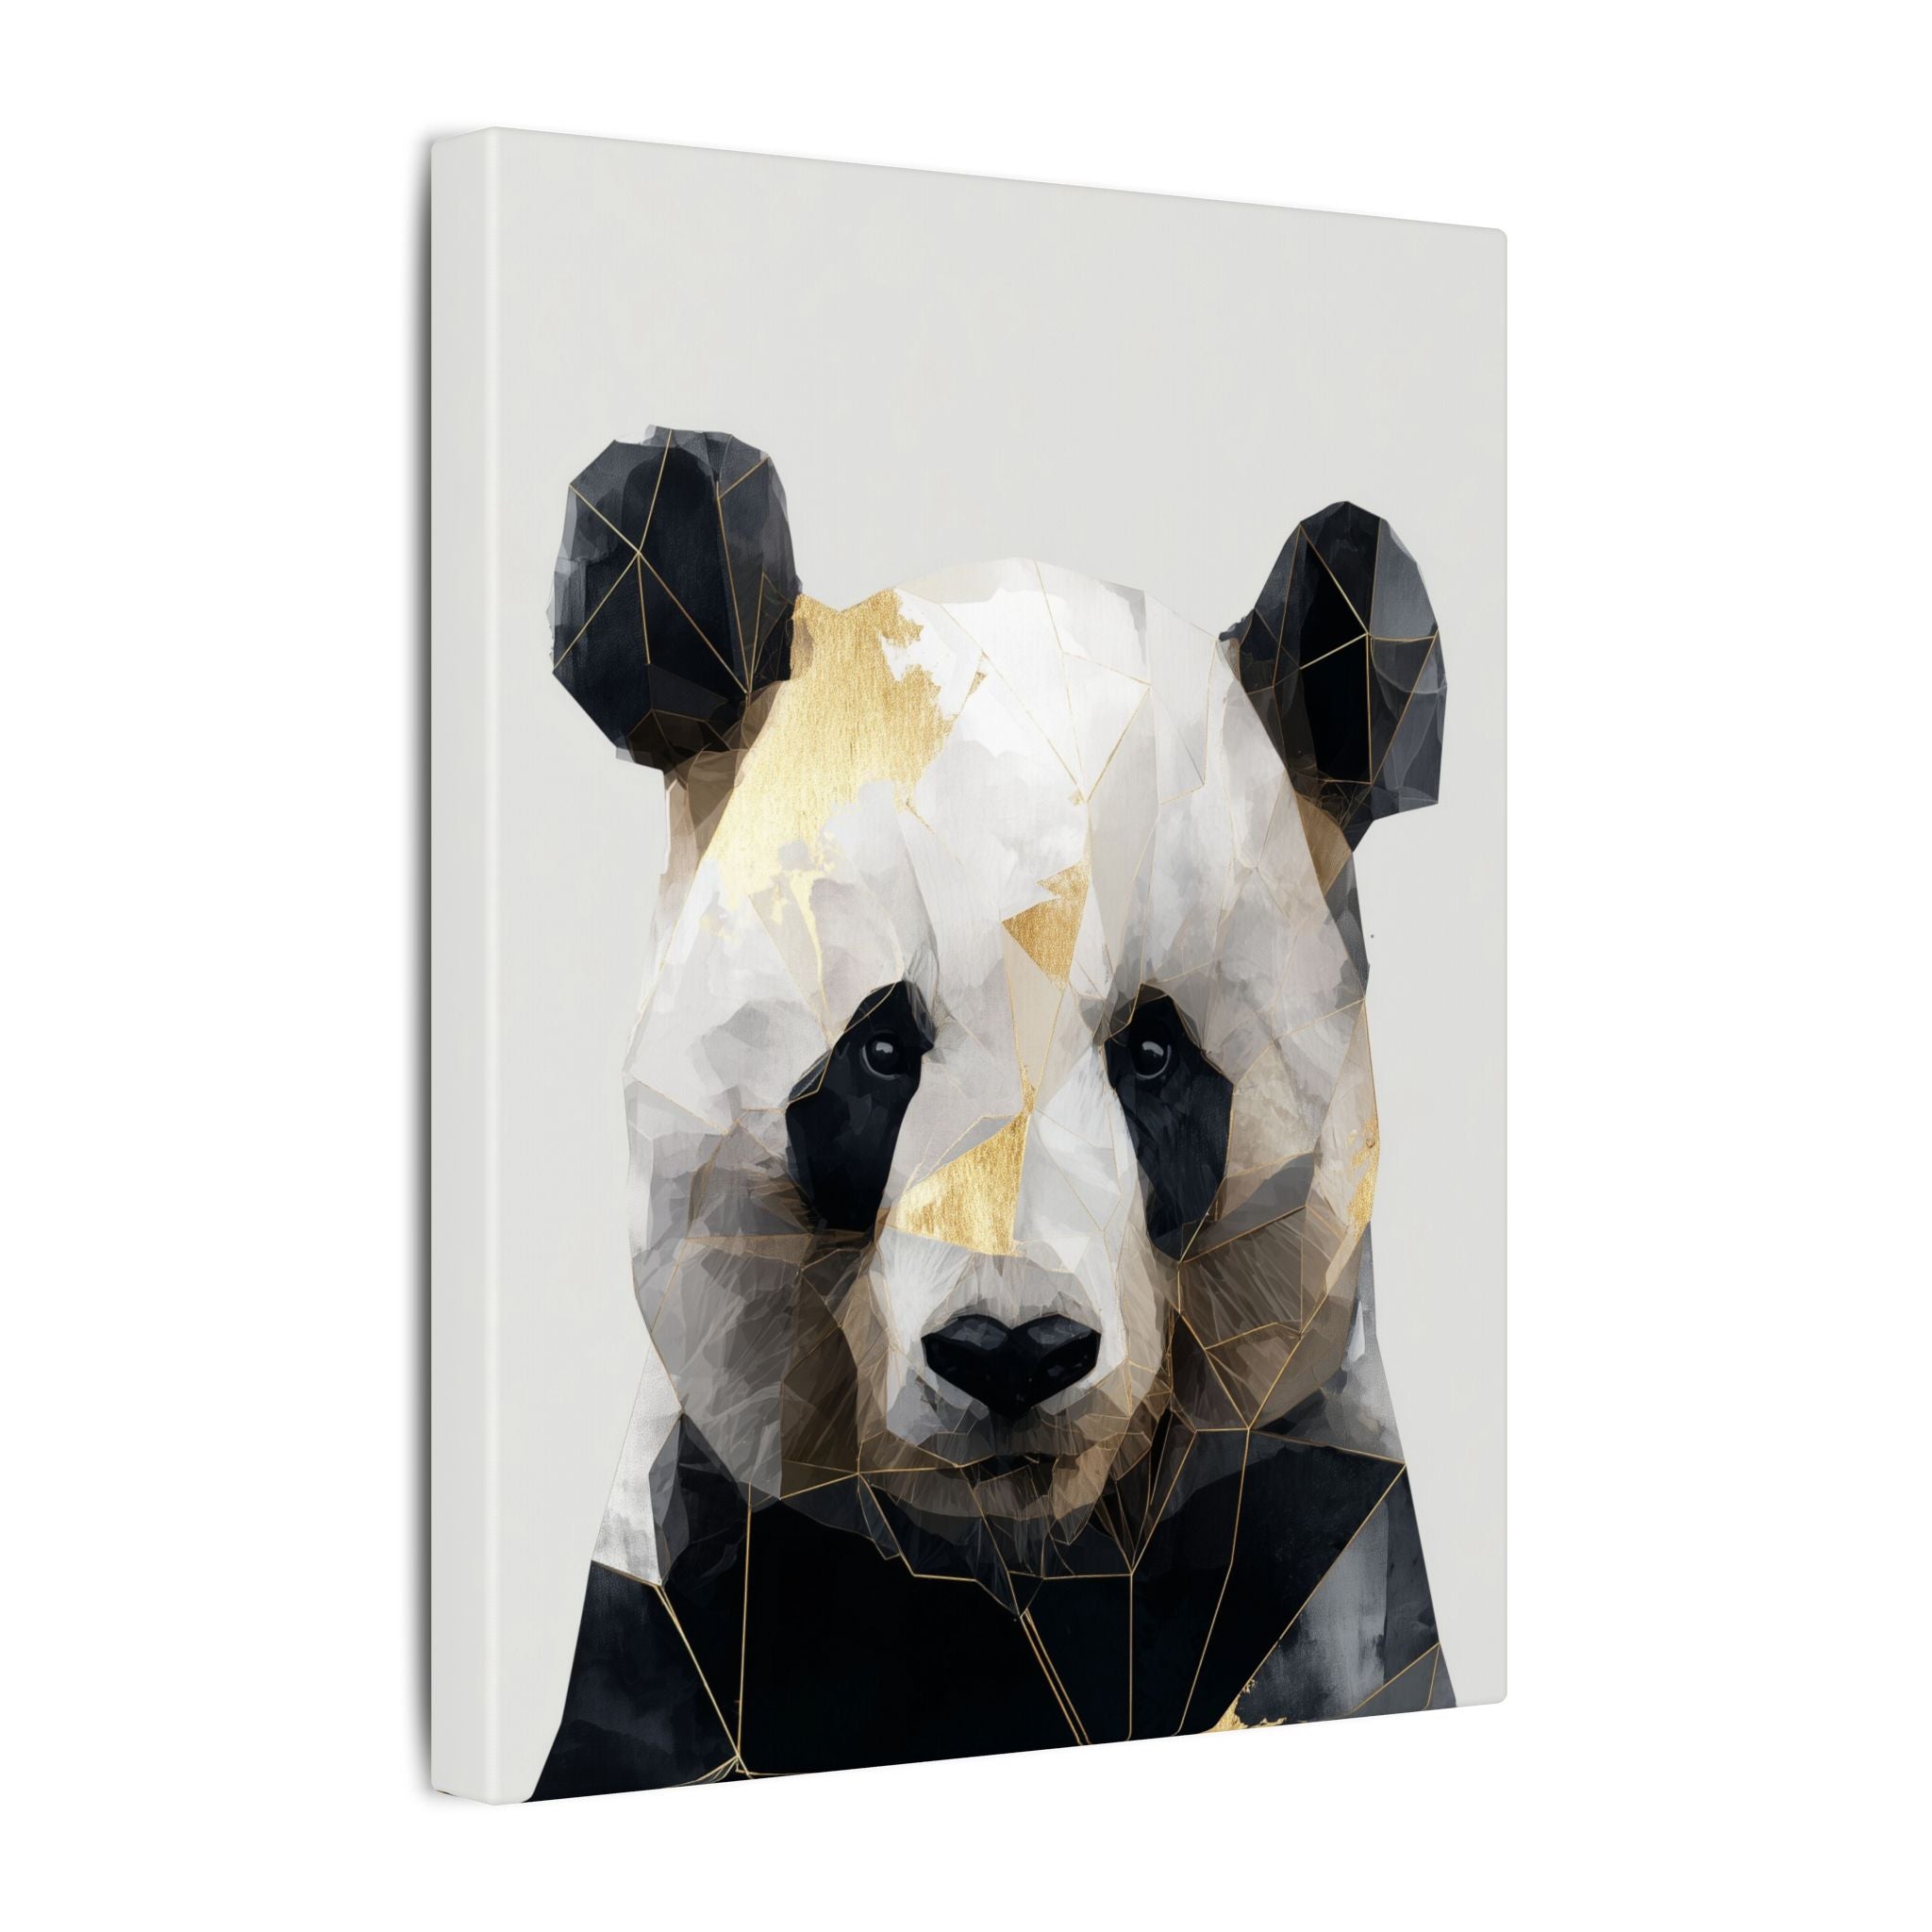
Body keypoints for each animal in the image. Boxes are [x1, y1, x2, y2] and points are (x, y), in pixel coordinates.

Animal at [533, 429, 1452, 1799]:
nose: (1012, 1353)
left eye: (1154, 1054)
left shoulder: (1310, 1548)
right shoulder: (693, 1605)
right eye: (878, 1049)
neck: (1013, 1574)